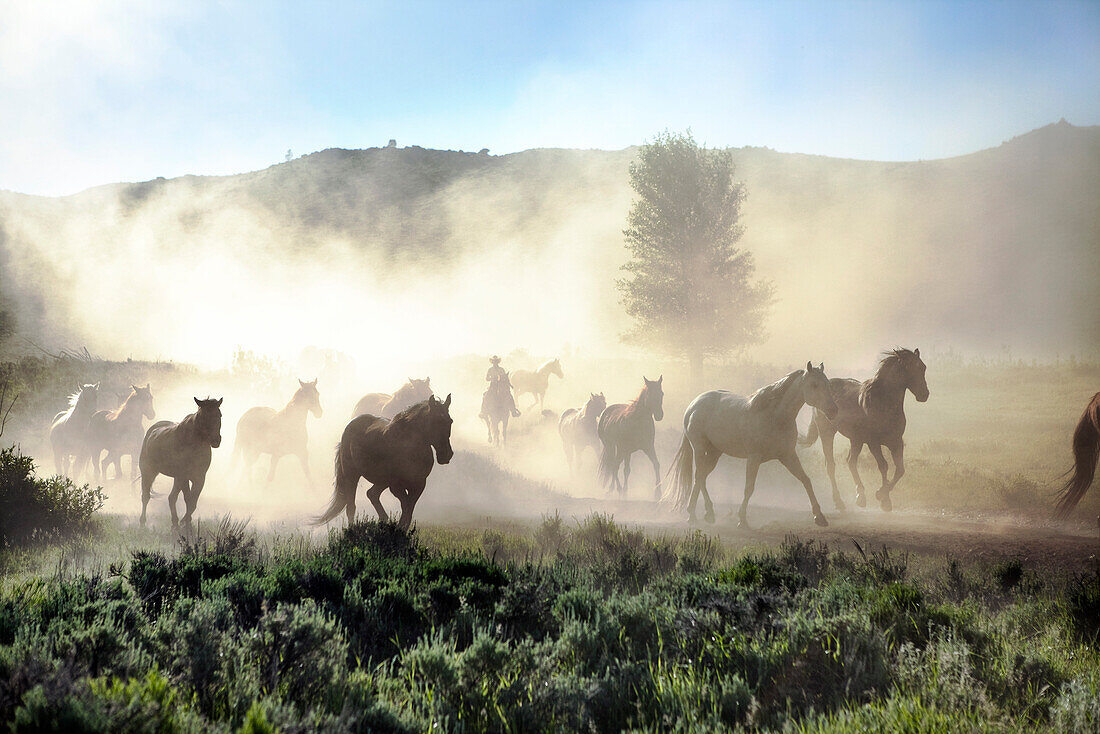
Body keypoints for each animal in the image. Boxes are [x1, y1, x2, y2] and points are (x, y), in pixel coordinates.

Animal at [138, 398, 222, 530]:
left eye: (219, 415)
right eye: (203, 416)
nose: (216, 440)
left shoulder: (199, 478)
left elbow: (193, 502)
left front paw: (186, 522)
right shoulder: (184, 477)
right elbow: (188, 499)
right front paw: (186, 523)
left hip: (176, 478)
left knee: (171, 498)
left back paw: (175, 523)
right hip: (149, 471)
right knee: (146, 496)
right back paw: (143, 522)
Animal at [316, 393, 453, 530]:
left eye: (450, 421)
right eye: (436, 421)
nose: (447, 455)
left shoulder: (419, 484)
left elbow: (409, 510)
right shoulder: (396, 485)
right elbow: (406, 507)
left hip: (381, 481)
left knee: (372, 494)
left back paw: (384, 519)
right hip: (352, 475)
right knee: (351, 506)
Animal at [664, 363, 836, 528]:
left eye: (827, 383)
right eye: (814, 384)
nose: (833, 410)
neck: (775, 417)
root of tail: (693, 404)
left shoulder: (788, 456)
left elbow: (806, 480)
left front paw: (819, 517)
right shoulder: (754, 457)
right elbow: (749, 488)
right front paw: (742, 520)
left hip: (714, 453)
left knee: (702, 477)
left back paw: (706, 513)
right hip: (700, 449)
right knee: (699, 477)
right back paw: (694, 515)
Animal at [800, 349, 928, 510]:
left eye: (923, 367)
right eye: (910, 368)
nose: (924, 394)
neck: (883, 402)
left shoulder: (896, 442)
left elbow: (900, 470)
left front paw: (883, 496)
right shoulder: (873, 442)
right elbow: (883, 466)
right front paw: (883, 498)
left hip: (856, 439)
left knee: (851, 461)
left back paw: (860, 496)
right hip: (827, 433)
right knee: (831, 465)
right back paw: (839, 501)